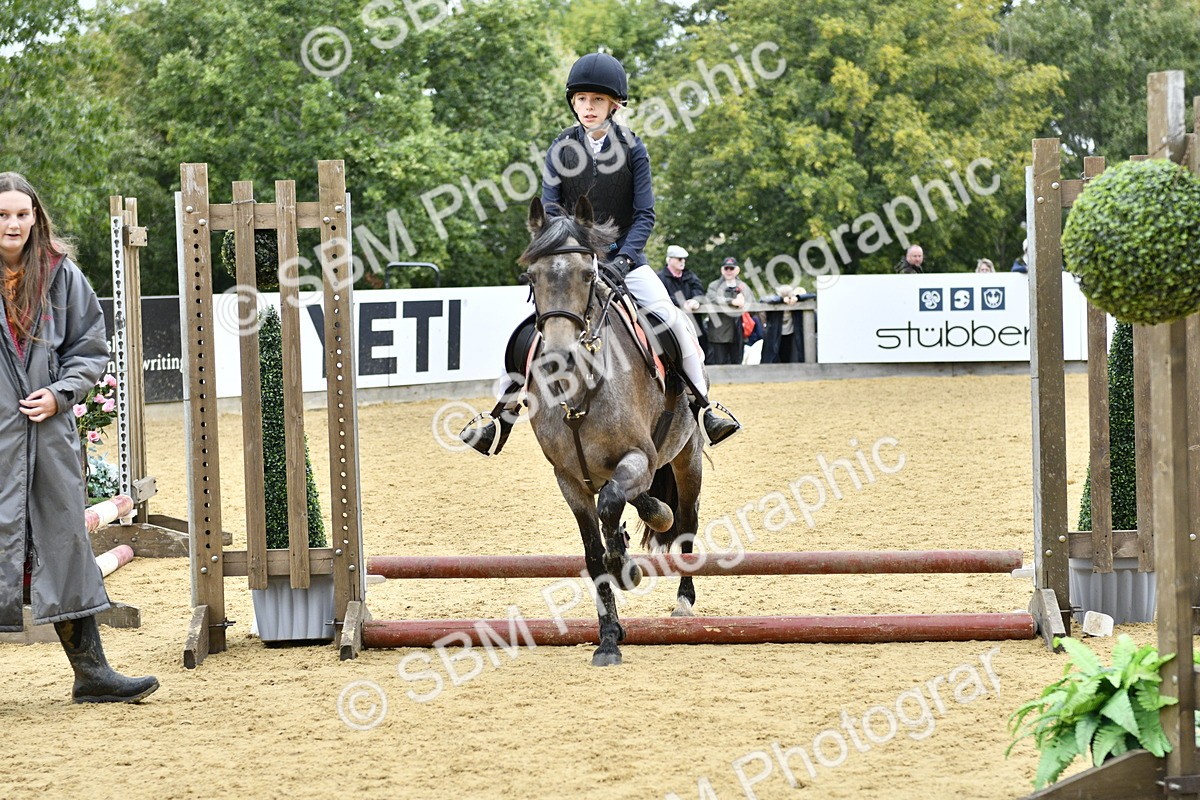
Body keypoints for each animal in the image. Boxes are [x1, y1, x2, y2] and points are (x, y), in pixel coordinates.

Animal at [517, 196, 704, 666]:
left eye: (589, 274)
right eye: (531, 276)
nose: (558, 358)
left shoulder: (640, 456)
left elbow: (617, 508)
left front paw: (628, 567)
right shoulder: (569, 480)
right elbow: (593, 553)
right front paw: (608, 638)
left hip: (687, 456)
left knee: (686, 519)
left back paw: (684, 598)